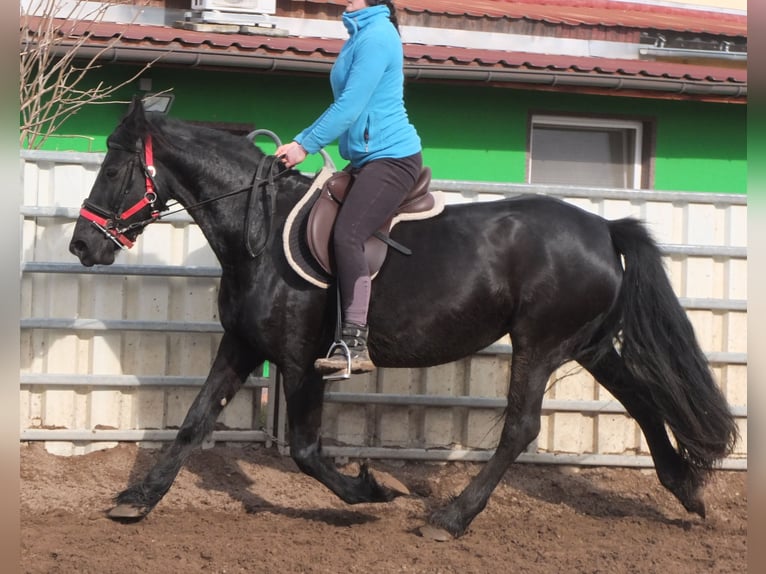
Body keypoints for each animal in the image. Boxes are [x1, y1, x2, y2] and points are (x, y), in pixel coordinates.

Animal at [70, 100, 736, 540]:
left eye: (113, 166)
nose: (83, 245)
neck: (257, 229)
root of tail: (603, 227)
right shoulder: (240, 344)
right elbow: (193, 422)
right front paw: (136, 500)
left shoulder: (300, 359)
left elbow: (305, 450)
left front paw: (371, 490)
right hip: (588, 345)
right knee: (643, 400)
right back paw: (687, 491)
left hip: (542, 344)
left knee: (521, 429)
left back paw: (451, 519)